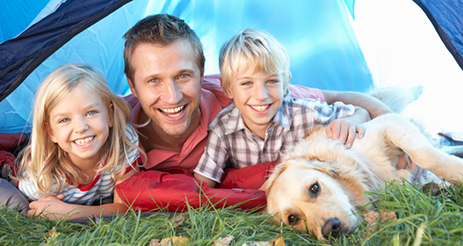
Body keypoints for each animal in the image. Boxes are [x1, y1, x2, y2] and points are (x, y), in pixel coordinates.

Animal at [266, 86, 463, 240]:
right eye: (292, 219)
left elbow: (424, 155)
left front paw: (457, 172)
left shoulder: (389, 123)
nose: (331, 229)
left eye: (314, 188)